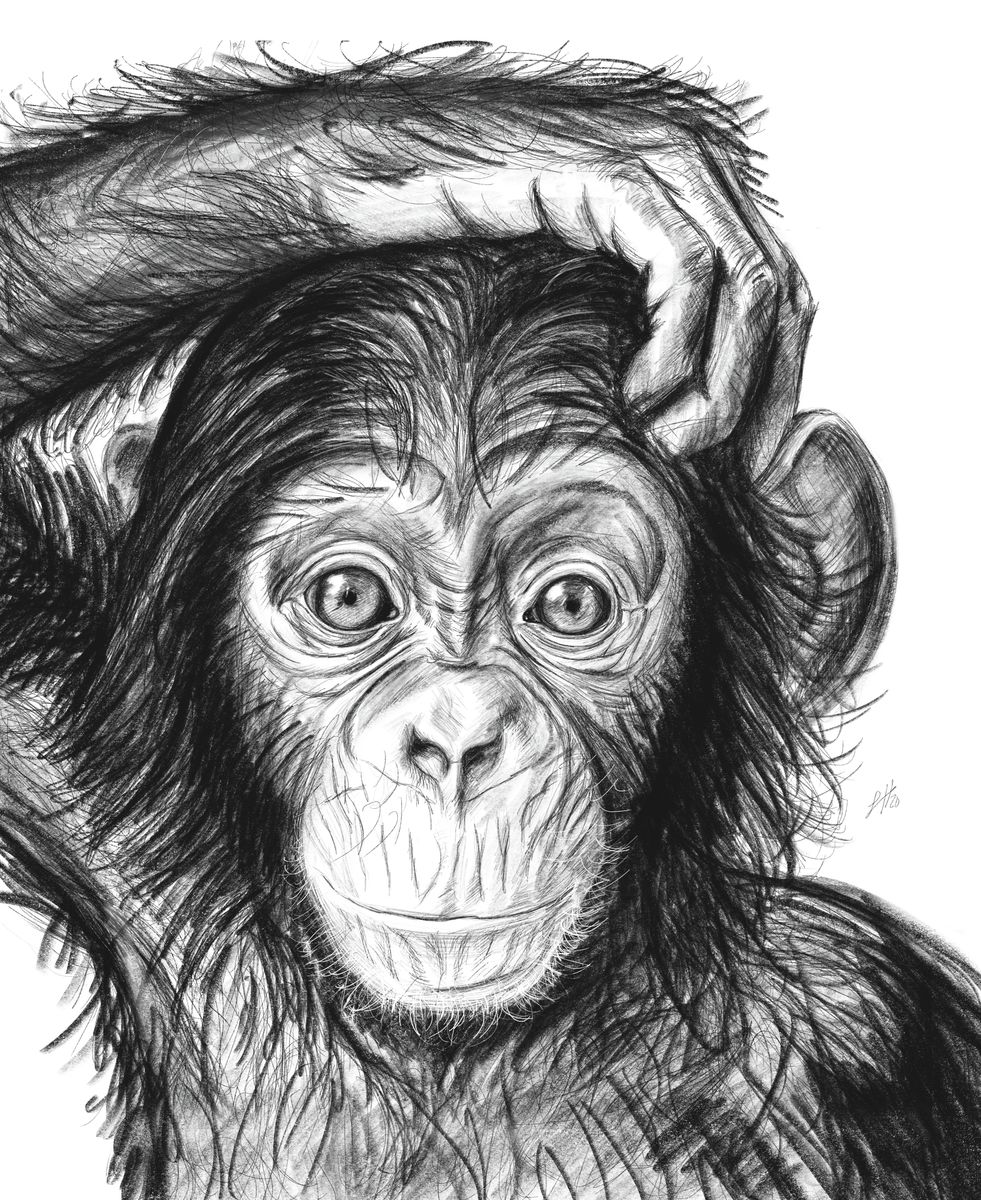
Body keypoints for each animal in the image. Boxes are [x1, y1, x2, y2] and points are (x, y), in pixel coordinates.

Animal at [0, 43, 978, 1200]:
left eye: (569, 603)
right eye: (348, 599)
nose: (458, 739)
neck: (466, 1059)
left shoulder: (869, 1010)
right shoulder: (85, 781)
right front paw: (575, 162)